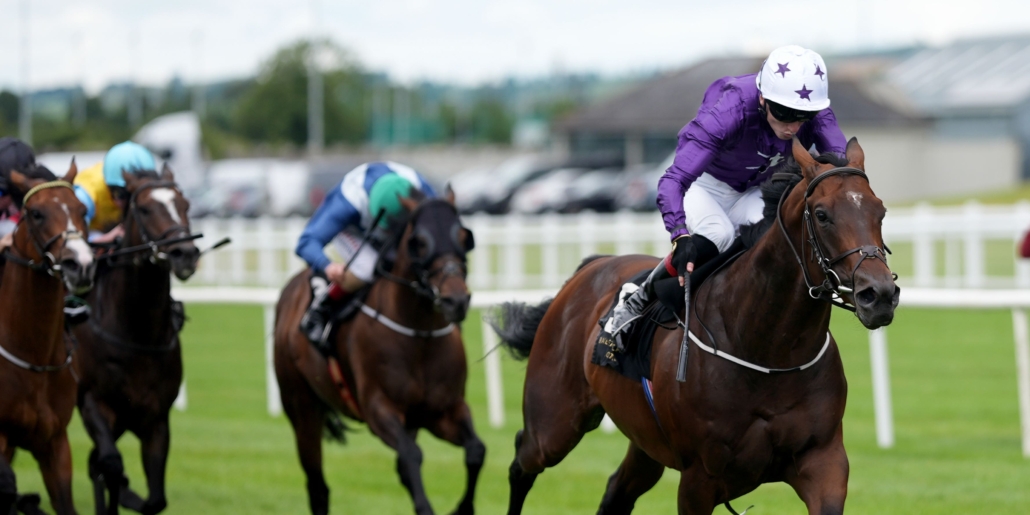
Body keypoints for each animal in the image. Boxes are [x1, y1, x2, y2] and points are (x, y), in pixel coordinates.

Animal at [71, 167, 200, 515]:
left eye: (185, 204)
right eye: (144, 209)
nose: (185, 253)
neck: (136, 332)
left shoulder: (155, 417)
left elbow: (155, 499)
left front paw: (131, 496)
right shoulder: (93, 403)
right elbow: (111, 464)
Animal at [274, 188, 485, 515]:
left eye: (464, 236)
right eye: (419, 242)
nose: (456, 301)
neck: (419, 335)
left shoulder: (444, 410)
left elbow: (476, 450)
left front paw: (462, 508)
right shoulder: (379, 409)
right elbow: (411, 455)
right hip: (301, 407)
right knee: (318, 486)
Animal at [492, 138, 899, 515]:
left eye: (880, 211)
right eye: (822, 214)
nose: (878, 294)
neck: (769, 350)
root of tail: (590, 267)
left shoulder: (823, 460)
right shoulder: (699, 479)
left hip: (644, 441)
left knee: (615, 492)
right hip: (554, 423)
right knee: (522, 462)